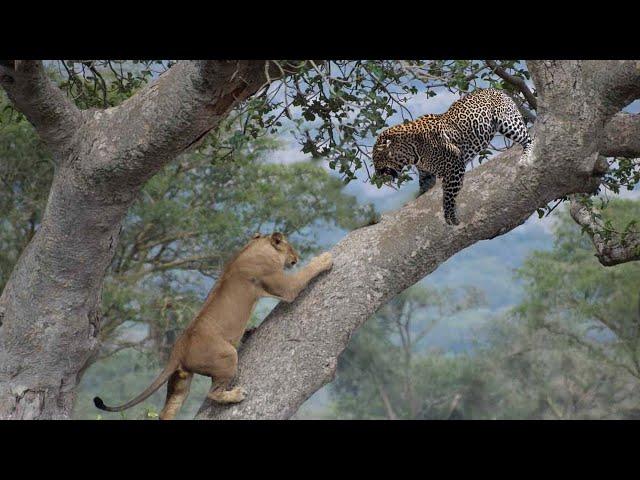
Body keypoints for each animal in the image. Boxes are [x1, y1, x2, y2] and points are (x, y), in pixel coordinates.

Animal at [372, 88, 532, 225]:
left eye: (376, 159)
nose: (377, 175)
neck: (411, 152)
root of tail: (496, 89)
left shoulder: (455, 167)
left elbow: (448, 195)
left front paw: (450, 216)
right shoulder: (427, 175)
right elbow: (424, 190)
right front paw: (411, 202)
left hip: (508, 122)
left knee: (528, 138)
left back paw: (525, 157)